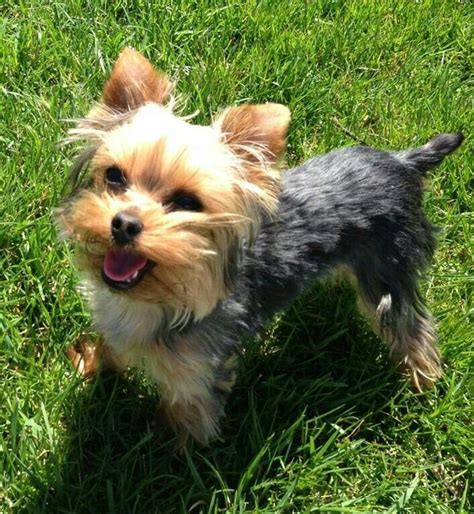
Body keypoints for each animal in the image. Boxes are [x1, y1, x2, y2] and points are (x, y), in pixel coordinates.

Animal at [58, 49, 462, 444]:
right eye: (114, 176)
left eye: (188, 202)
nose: (124, 223)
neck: (153, 298)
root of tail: (402, 161)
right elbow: (110, 349)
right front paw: (92, 365)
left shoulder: (197, 372)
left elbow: (189, 416)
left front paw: (174, 453)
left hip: (387, 267)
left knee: (410, 324)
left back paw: (421, 379)